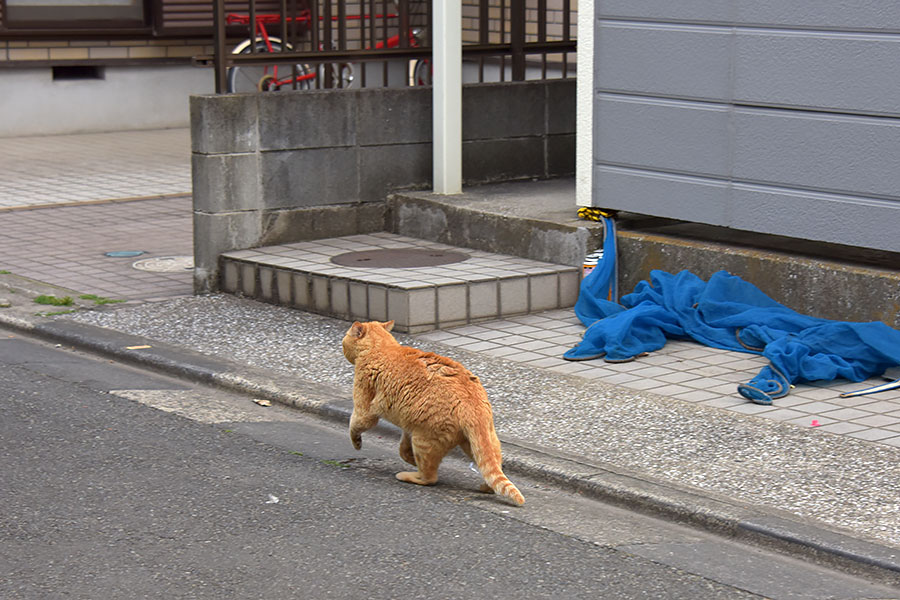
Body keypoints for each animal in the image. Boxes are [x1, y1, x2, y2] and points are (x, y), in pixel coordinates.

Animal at [344, 318, 528, 506]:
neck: (382, 347)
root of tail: (472, 404)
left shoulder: (365, 409)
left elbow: (354, 425)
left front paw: (357, 443)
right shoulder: (408, 425)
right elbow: (403, 450)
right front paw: (410, 460)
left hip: (423, 440)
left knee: (430, 478)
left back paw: (408, 475)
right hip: (477, 442)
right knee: (493, 467)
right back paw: (485, 487)